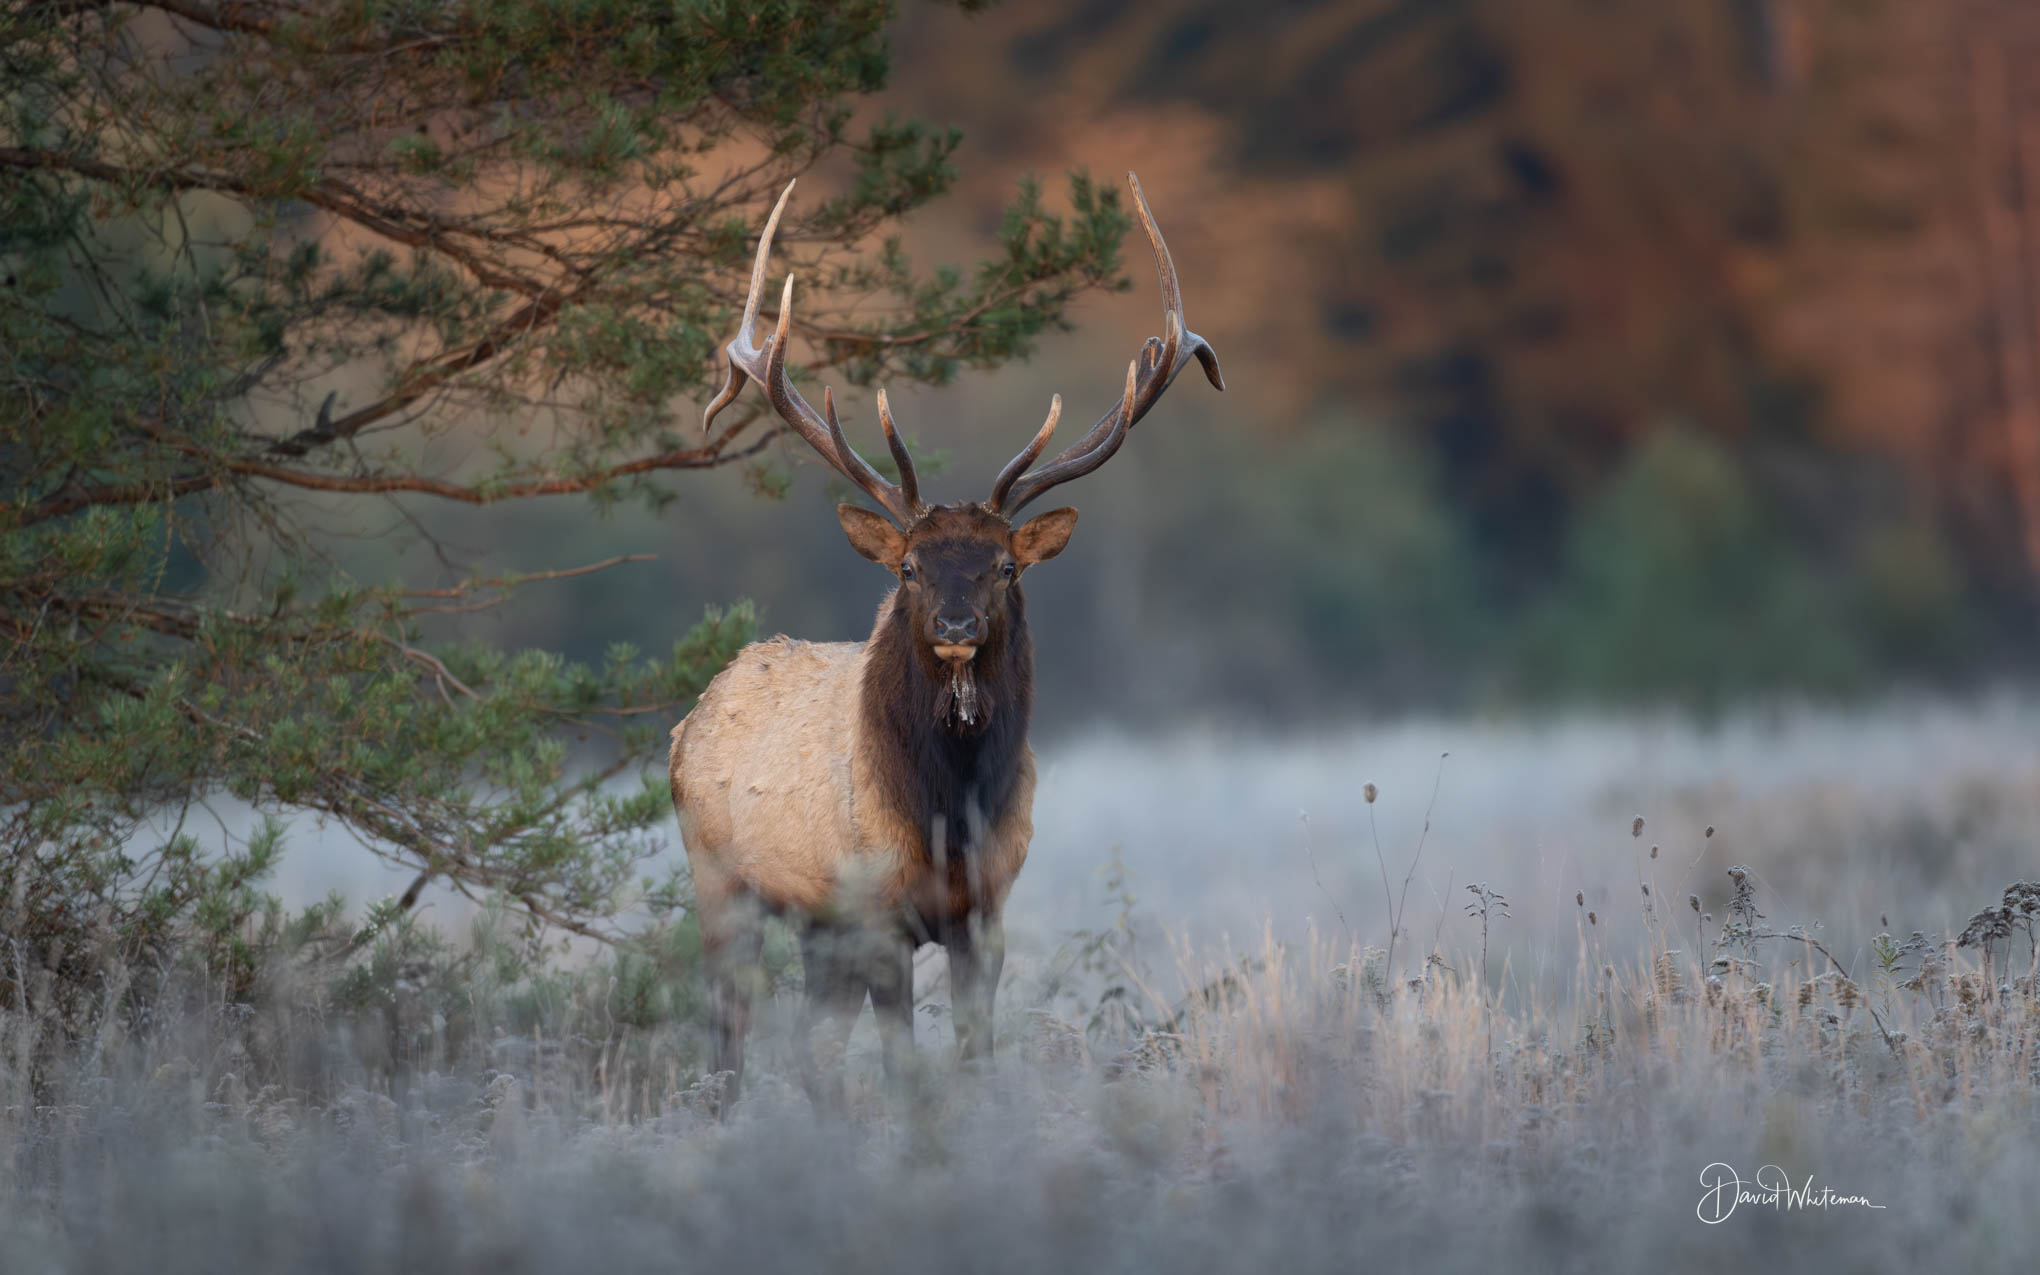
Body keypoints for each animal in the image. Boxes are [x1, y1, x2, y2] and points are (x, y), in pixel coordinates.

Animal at [668, 171, 1222, 1111]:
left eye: (1005, 566)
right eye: (909, 567)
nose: (957, 629)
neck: (945, 812)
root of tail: (693, 715)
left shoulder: (986, 909)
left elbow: (971, 1053)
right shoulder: (875, 910)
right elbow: (901, 1060)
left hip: (813, 925)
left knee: (809, 1044)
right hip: (721, 881)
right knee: (728, 1029)